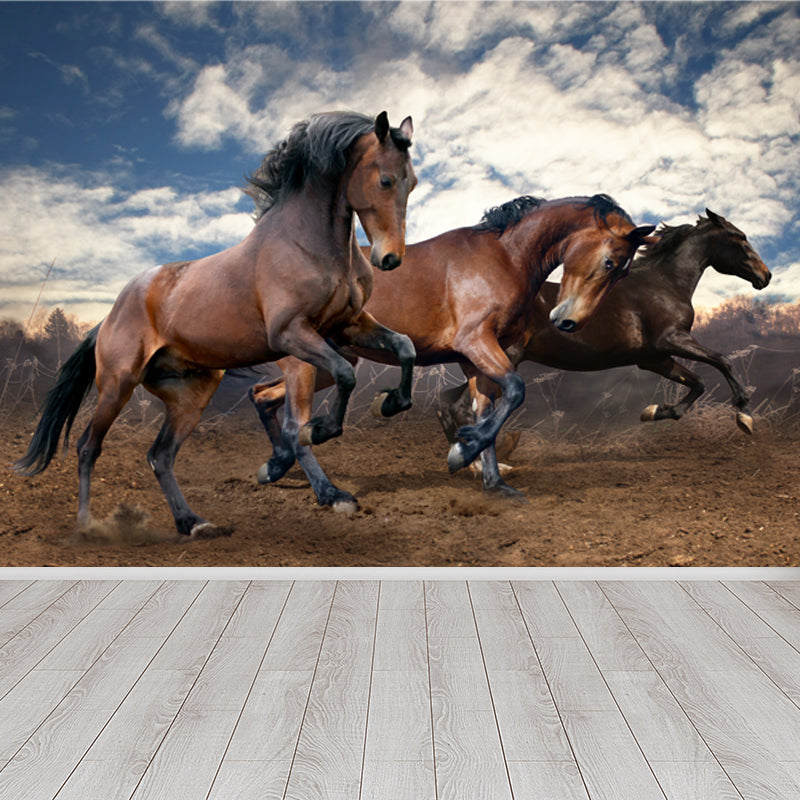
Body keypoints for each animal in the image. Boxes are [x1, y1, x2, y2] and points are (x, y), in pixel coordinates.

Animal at [15, 110, 417, 536]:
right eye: (385, 180)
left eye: (412, 182)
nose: (390, 259)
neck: (307, 244)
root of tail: (108, 317)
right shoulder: (291, 334)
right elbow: (340, 378)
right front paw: (323, 444)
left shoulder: (347, 325)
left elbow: (403, 346)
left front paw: (390, 403)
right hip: (117, 385)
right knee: (88, 447)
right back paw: (88, 524)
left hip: (192, 393)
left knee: (160, 455)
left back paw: (191, 522)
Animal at [249, 194, 655, 507]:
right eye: (609, 262)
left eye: (621, 273)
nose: (569, 322)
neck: (505, 257)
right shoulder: (476, 343)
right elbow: (514, 391)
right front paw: (462, 452)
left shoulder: (476, 360)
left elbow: (487, 410)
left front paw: (493, 481)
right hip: (305, 364)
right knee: (294, 425)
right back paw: (330, 494)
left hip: (331, 362)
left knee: (263, 396)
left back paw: (274, 466)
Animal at [437, 209, 772, 467]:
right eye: (740, 237)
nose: (765, 276)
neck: (664, 284)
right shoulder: (671, 340)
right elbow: (722, 360)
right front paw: (744, 415)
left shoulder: (653, 358)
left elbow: (697, 383)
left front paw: (654, 412)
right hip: (505, 360)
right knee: (460, 408)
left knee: (448, 403)